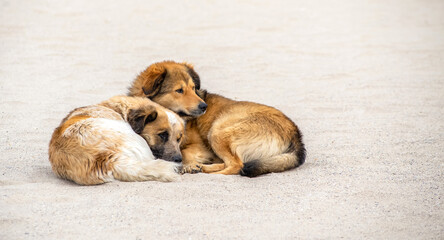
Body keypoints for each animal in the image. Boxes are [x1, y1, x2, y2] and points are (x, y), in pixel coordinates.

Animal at [128, 60, 306, 176]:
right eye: (179, 90)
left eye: (193, 88)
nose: (204, 106)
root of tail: (296, 135)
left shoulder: (200, 146)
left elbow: (184, 151)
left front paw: (188, 164)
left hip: (217, 131)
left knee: (236, 165)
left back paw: (206, 170)